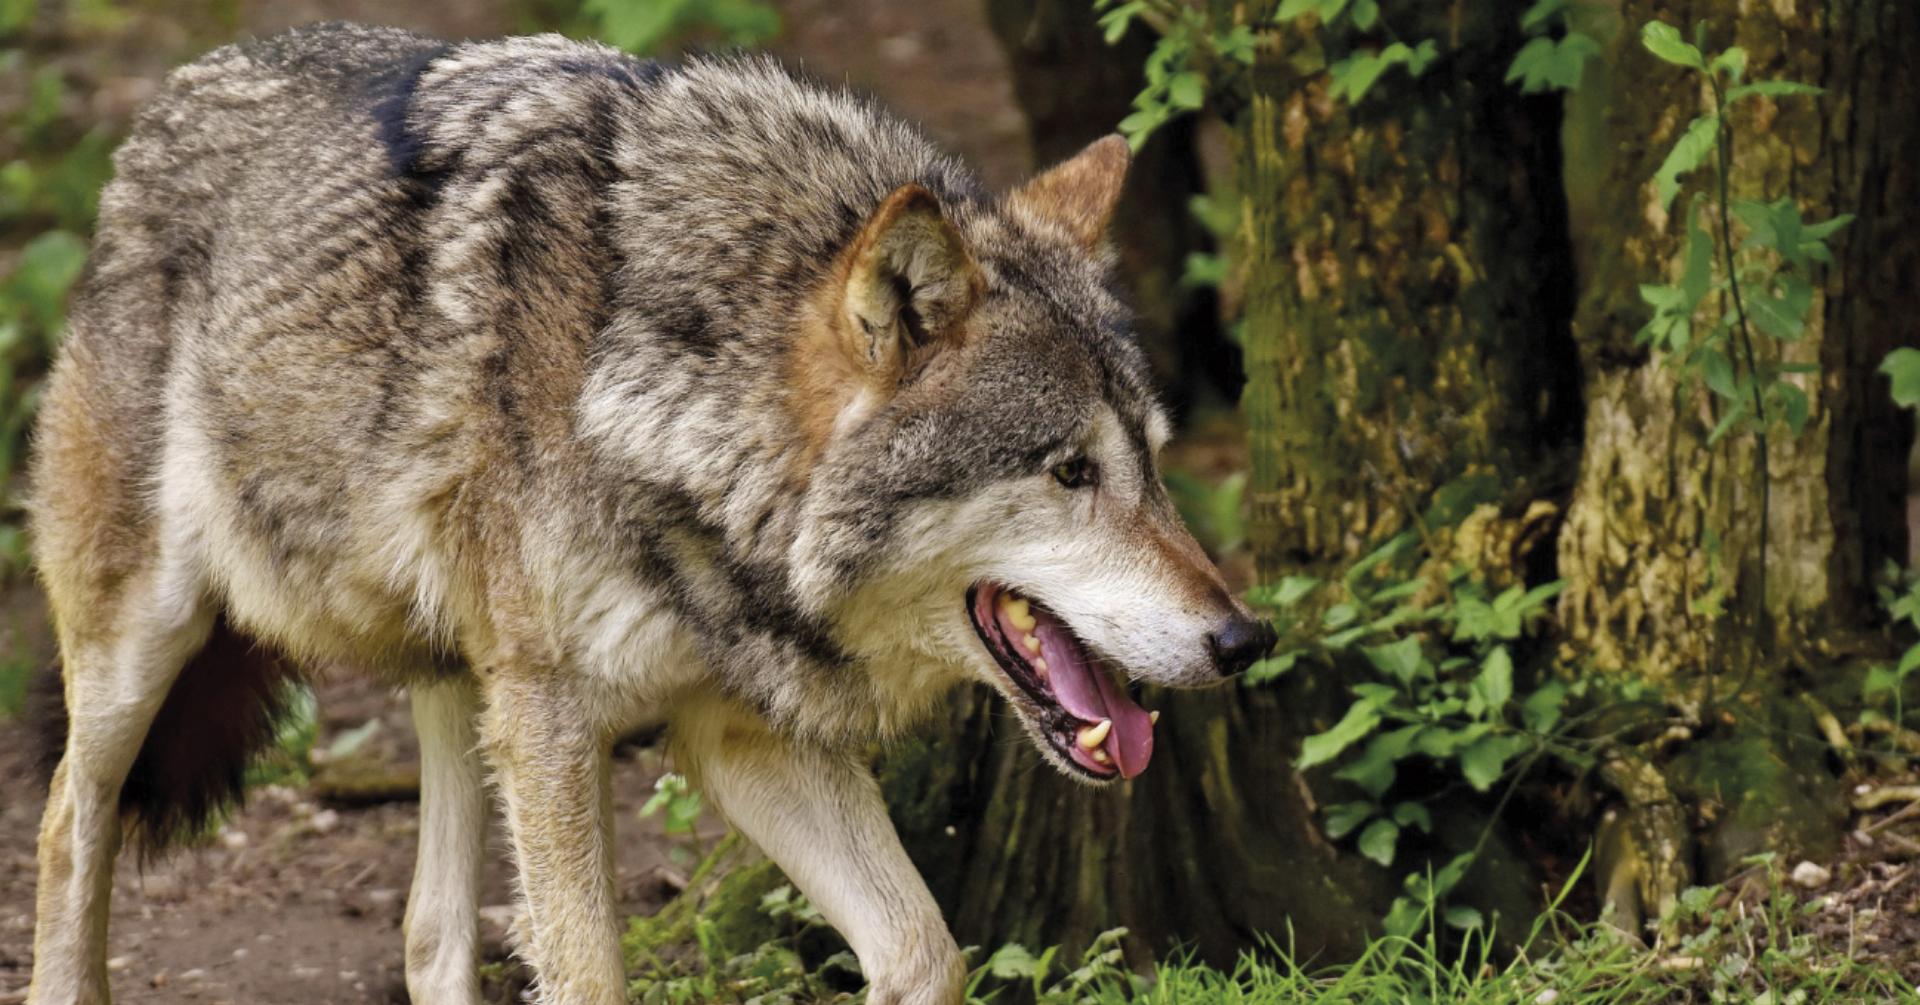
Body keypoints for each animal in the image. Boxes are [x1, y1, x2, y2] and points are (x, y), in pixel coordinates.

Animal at [26, 22, 1275, 1005]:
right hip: (152, 643)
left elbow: (927, 951)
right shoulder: (557, 724)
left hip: (462, 682)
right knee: (64, 827)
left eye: (1155, 464)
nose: (1243, 639)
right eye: (1070, 472)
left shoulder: (739, 733)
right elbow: (589, 976)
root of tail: (173, 96)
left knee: (428, 936)